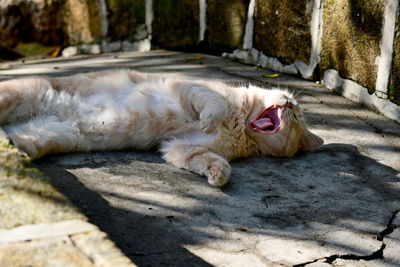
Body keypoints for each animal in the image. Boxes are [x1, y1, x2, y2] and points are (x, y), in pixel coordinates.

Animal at [0, 70, 322, 187]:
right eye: (294, 105)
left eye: (297, 116)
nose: (289, 104)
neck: (241, 124)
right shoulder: (190, 87)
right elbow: (212, 106)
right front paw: (208, 119)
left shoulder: (179, 146)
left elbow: (206, 160)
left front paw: (218, 176)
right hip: (19, 94)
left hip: (43, 137)